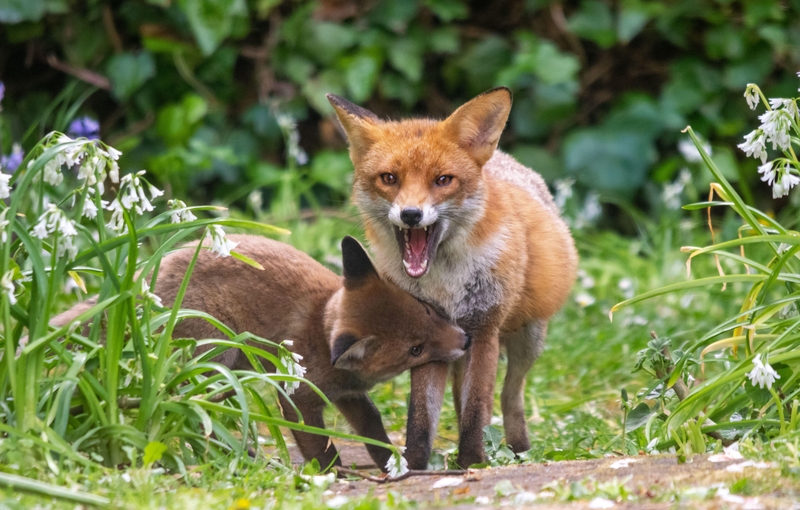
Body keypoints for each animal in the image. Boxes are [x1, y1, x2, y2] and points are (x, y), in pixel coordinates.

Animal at [50, 235, 468, 470]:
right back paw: (246, 459)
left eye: (427, 310)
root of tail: (145, 280)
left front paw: (394, 462)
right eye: (415, 349)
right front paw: (331, 471)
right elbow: (315, 441)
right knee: (198, 415)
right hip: (216, 366)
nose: (465, 341)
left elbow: (373, 429)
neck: (321, 325)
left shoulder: (349, 395)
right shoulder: (298, 396)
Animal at [328, 89, 580, 468]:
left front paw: (473, 461)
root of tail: (506, 160)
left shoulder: (485, 329)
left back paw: (517, 448)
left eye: (443, 180)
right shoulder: (430, 336)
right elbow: (421, 414)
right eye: (389, 178)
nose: (411, 214)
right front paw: (415, 464)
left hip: (529, 339)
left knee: (509, 395)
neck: (445, 282)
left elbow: (477, 409)